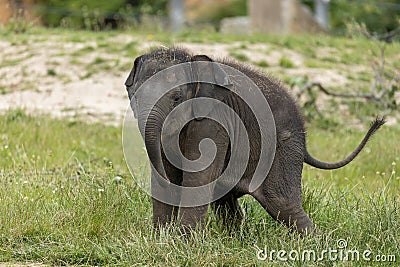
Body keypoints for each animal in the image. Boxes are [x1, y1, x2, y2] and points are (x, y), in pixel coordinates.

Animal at [124, 47, 384, 234]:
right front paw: (160, 240)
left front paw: (183, 243)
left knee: (284, 206)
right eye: (134, 99)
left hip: (282, 149)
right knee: (227, 200)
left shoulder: (214, 120)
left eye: (177, 98)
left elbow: (198, 176)